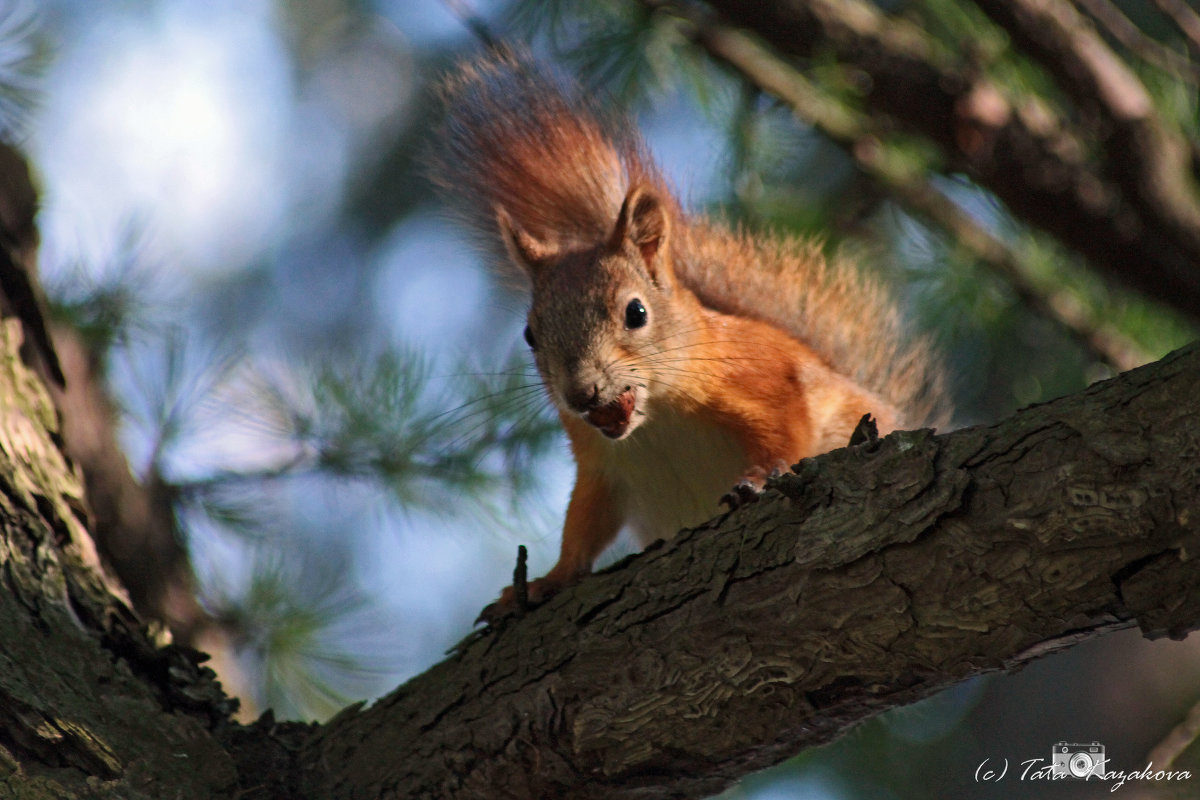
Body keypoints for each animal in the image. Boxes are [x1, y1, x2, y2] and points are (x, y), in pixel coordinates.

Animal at [432, 50, 945, 618]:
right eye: (529, 335)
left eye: (636, 312)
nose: (580, 394)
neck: (656, 422)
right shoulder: (600, 467)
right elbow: (583, 527)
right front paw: (547, 580)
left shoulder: (766, 378)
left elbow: (787, 434)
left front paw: (757, 483)